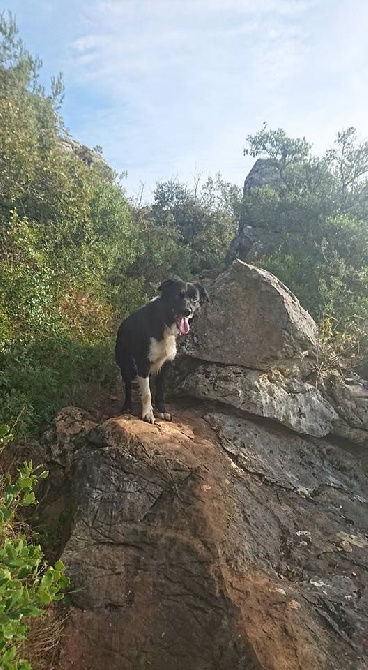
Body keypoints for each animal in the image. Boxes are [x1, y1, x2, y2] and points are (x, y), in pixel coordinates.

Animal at [115, 278, 208, 426]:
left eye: (195, 299)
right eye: (178, 296)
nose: (187, 311)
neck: (164, 321)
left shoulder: (165, 365)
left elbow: (160, 392)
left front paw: (161, 411)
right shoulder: (143, 363)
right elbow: (147, 393)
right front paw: (147, 414)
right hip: (126, 364)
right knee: (128, 386)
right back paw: (127, 407)